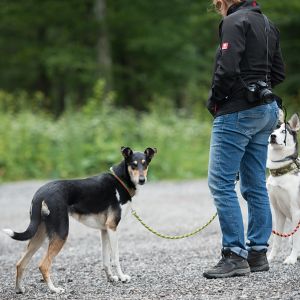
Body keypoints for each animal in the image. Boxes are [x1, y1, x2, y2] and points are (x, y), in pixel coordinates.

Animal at [2, 147, 157, 292]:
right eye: (133, 165)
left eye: (145, 164)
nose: (142, 180)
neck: (121, 180)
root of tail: (40, 194)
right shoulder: (112, 227)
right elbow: (115, 258)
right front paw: (122, 277)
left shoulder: (104, 230)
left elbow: (105, 260)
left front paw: (111, 278)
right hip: (61, 233)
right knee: (43, 265)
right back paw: (54, 289)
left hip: (39, 235)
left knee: (20, 263)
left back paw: (19, 289)